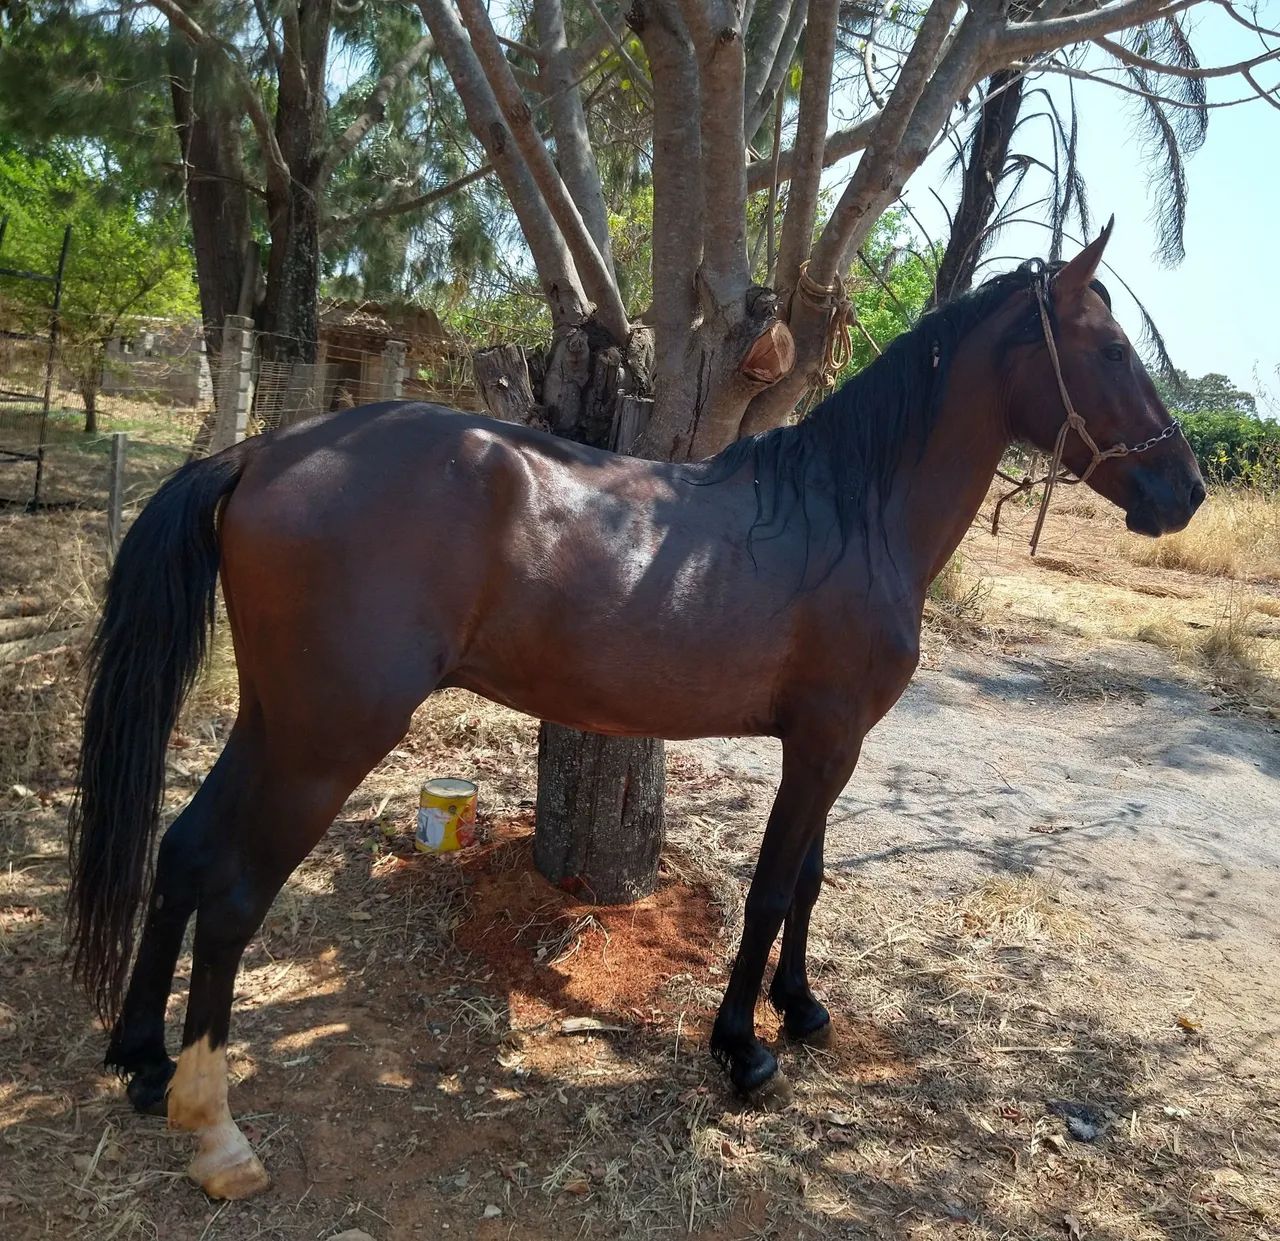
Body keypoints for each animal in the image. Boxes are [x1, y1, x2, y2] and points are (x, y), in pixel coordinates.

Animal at [67, 222, 1204, 1199]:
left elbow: (809, 881)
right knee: (233, 890)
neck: (848, 511)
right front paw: (742, 1048)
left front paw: (801, 1009)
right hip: (324, 740)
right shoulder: (821, 744)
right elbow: (770, 888)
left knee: (182, 849)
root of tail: (266, 451)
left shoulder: (832, 744)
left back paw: (142, 1060)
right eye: (1108, 347)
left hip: (273, 721)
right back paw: (215, 1130)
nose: (1183, 490)